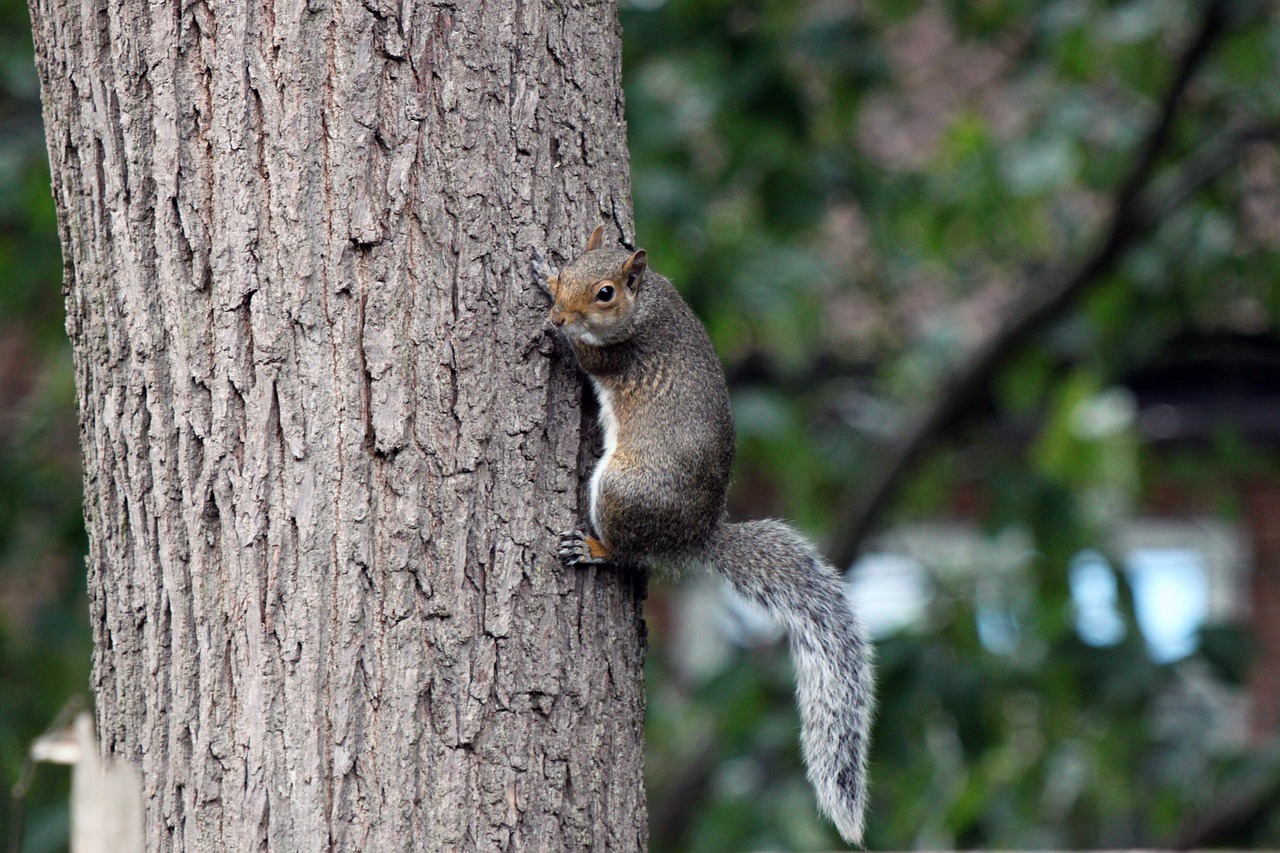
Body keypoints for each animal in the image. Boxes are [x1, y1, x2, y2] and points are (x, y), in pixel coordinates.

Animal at [529, 222, 870, 840]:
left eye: (605, 294)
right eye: (574, 271)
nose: (558, 316)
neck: (648, 305)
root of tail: (695, 536)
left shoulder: (616, 353)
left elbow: (586, 355)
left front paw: (544, 293)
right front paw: (546, 270)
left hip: (621, 490)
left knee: (629, 554)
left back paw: (592, 547)